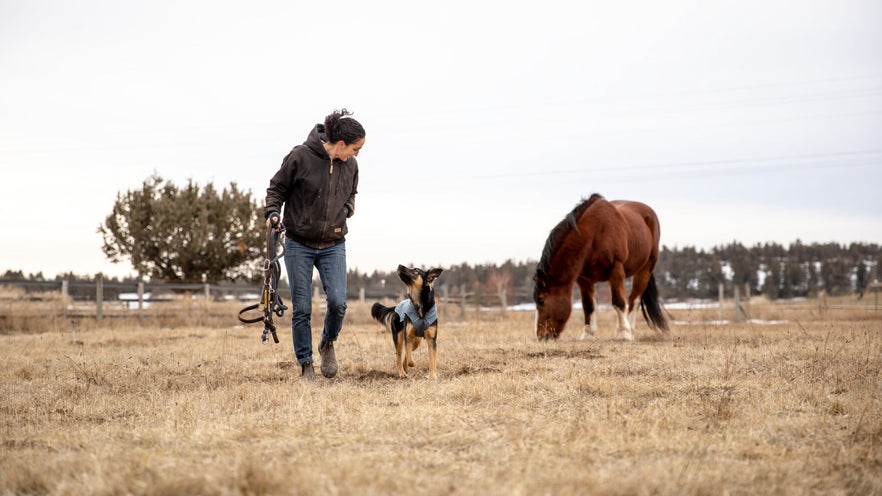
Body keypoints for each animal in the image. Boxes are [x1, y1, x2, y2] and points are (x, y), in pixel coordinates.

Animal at [528, 194, 668, 340]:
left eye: (541, 300)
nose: (541, 336)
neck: (594, 234)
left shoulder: (616, 269)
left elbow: (618, 301)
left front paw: (623, 333)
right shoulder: (584, 279)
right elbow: (588, 306)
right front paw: (588, 334)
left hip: (645, 269)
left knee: (634, 299)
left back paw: (630, 329)